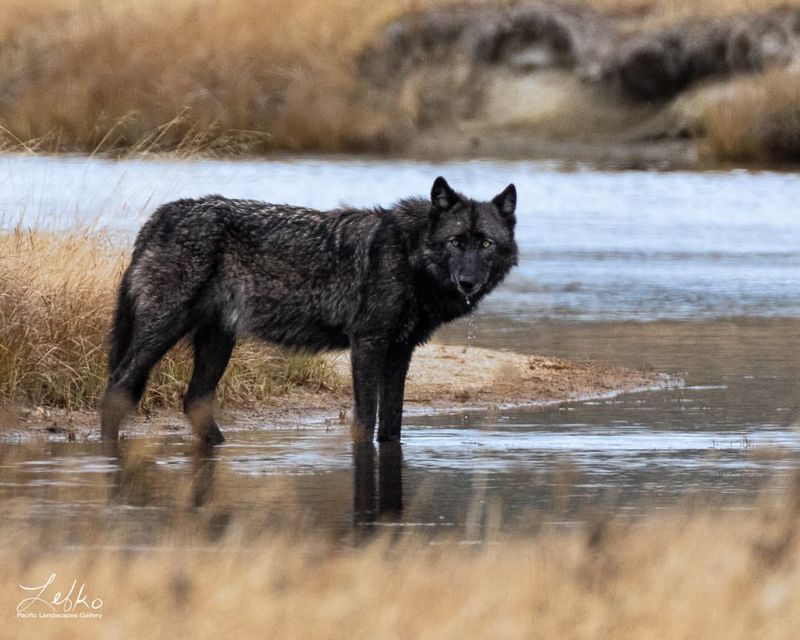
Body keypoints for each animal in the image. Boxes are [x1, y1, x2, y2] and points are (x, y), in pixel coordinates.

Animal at [101, 176, 520, 444]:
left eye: (485, 243)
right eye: (456, 242)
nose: (468, 282)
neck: (409, 254)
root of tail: (161, 216)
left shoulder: (399, 352)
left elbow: (391, 426)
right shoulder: (367, 344)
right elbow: (365, 420)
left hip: (217, 342)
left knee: (194, 402)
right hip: (164, 329)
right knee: (118, 386)